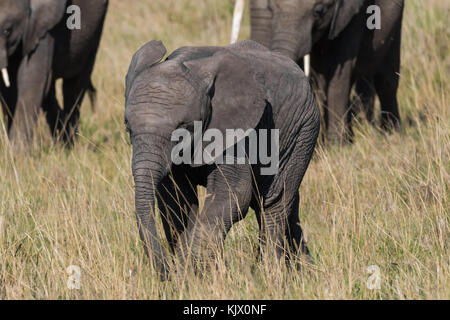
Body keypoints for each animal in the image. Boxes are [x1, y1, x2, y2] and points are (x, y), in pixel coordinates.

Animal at [0, 0, 108, 148]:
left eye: (7, 30)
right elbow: (9, 91)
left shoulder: (43, 25)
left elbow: (31, 80)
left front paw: (18, 153)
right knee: (49, 92)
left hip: (95, 31)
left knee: (74, 87)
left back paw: (69, 146)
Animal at [124, 39, 320, 276]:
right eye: (128, 127)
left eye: (183, 128)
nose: (166, 273)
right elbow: (176, 198)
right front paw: (199, 271)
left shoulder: (237, 128)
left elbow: (234, 194)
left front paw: (188, 272)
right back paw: (305, 273)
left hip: (303, 131)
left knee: (274, 201)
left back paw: (267, 274)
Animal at [244, 0, 406, 144]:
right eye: (270, 9)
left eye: (319, 11)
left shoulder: (353, 17)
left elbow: (339, 76)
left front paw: (338, 147)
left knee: (386, 80)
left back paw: (391, 134)